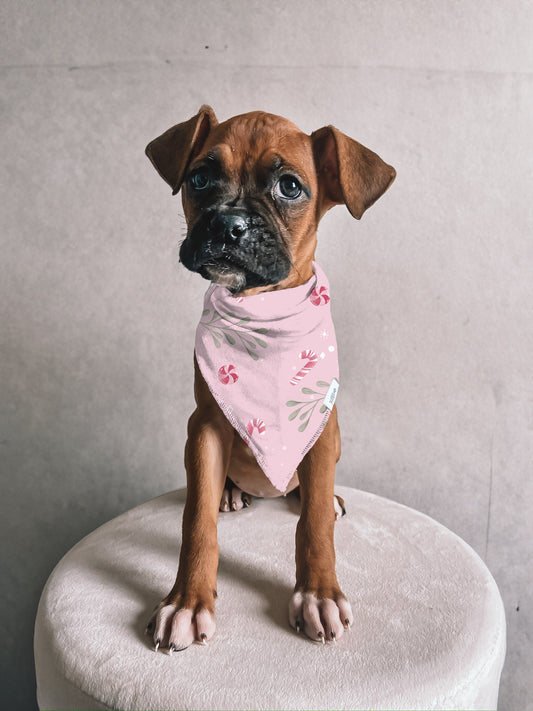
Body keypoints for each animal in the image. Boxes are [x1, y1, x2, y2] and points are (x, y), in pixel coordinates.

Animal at [143, 107, 392, 652]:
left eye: (289, 187)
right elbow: (196, 520)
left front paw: (318, 593)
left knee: (311, 494)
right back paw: (230, 492)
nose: (226, 224)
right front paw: (186, 601)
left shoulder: (321, 430)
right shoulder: (204, 427)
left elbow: (314, 523)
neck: (262, 312)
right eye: (199, 178)